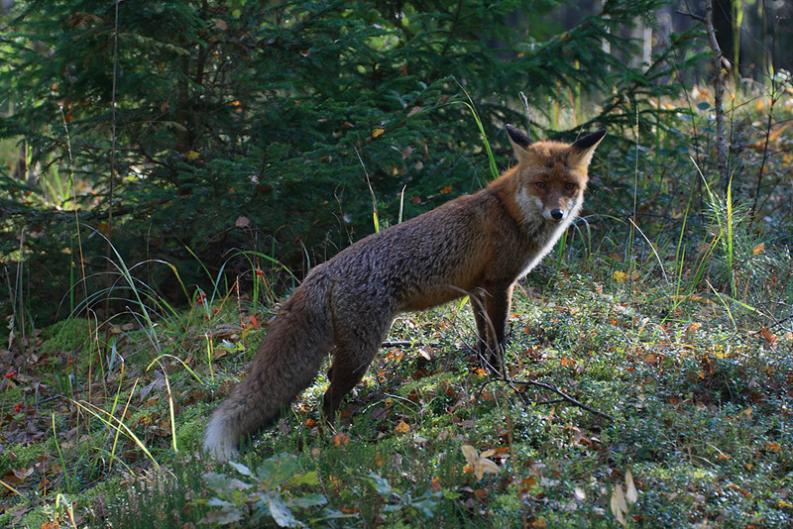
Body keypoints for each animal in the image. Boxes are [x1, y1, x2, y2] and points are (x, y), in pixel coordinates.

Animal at [204, 126, 608, 460]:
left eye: (568, 187)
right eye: (541, 184)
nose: (558, 213)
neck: (511, 213)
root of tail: (320, 272)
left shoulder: (478, 290)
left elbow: (483, 343)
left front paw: (482, 376)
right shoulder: (498, 285)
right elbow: (497, 341)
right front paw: (503, 380)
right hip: (361, 351)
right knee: (328, 394)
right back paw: (335, 439)